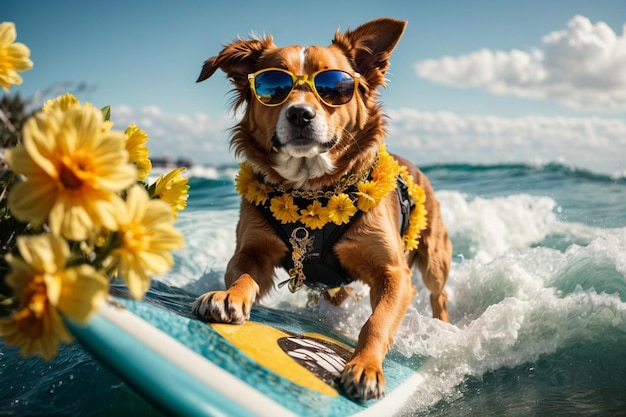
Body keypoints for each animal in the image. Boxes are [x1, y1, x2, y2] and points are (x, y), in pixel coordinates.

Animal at [191, 17, 448, 402]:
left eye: (334, 86)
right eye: (272, 86)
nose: (300, 114)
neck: (310, 189)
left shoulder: (395, 274)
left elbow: (376, 322)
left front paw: (365, 366)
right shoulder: (251, 250)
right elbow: (243, 275)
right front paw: (228, 296)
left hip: (433, 259)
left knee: (438, 293)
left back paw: (445, 328)